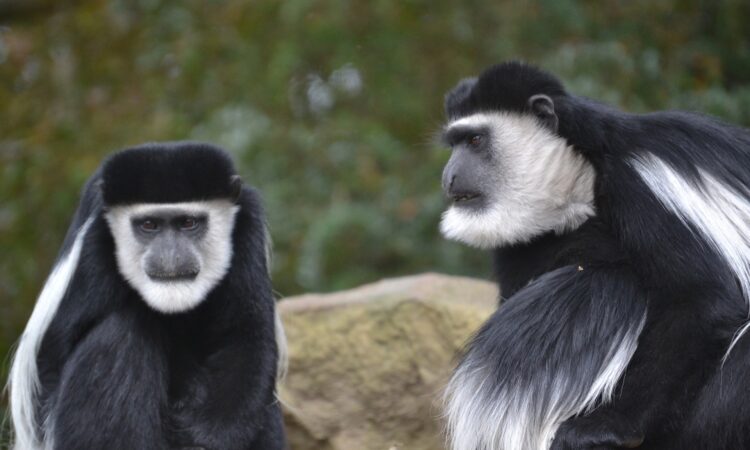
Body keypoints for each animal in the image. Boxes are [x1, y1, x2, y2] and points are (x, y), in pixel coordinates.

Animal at [7, 142, 286, 450]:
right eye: (149, 225)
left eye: (188, 223)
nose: (169, 255)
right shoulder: (94, 241)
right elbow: (48, 366)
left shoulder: (248, 226)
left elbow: (245, 337)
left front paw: (207, 437)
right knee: (119, 335)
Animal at [439, 61, 750, 450]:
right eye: (454, 143)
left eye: (475, 141)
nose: (448, 176)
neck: (583, 179)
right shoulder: (522, 243)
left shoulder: (640, 182)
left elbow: (704, 301)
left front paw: (604, 426)